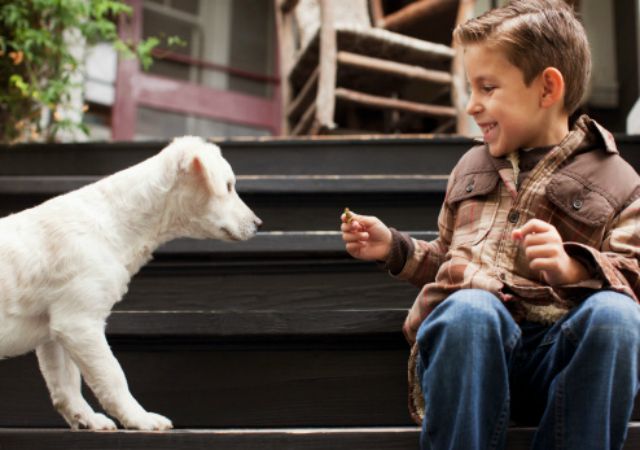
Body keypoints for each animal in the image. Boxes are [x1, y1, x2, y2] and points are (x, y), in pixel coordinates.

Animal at [0, 136, 262, 428]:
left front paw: (88, 420)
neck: (115, 224)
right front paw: (140, 419)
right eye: (227, 186)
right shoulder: (79, 322)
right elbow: (113, 376)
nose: (258, 224)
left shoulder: (54, 329)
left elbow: (65, 385)